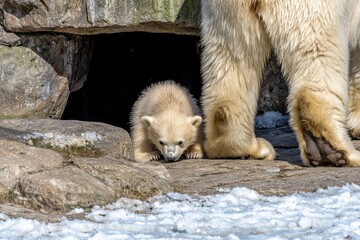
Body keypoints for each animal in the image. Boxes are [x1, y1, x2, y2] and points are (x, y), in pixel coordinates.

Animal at [201, 0, 360, 166]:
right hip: (310, 11)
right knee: (318, 51)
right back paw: (334, 152)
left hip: (227, 17)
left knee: (232, 61)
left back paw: (247, 148)